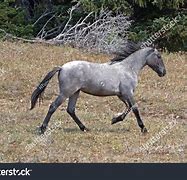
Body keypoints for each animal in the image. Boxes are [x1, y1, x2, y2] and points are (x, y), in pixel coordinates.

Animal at [30, 42, 167, 135]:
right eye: (159, 56)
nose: (163, 72)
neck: (128, 68)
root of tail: (62, 67)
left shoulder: (122, 94)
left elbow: (128, 107)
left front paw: (115, 120)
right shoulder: (128, 93)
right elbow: (134, 108)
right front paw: (144, 128)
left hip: (75, 92)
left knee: (71, 110)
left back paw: (84, 128)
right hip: (66, 93)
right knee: (53, 106)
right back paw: (42, 129)